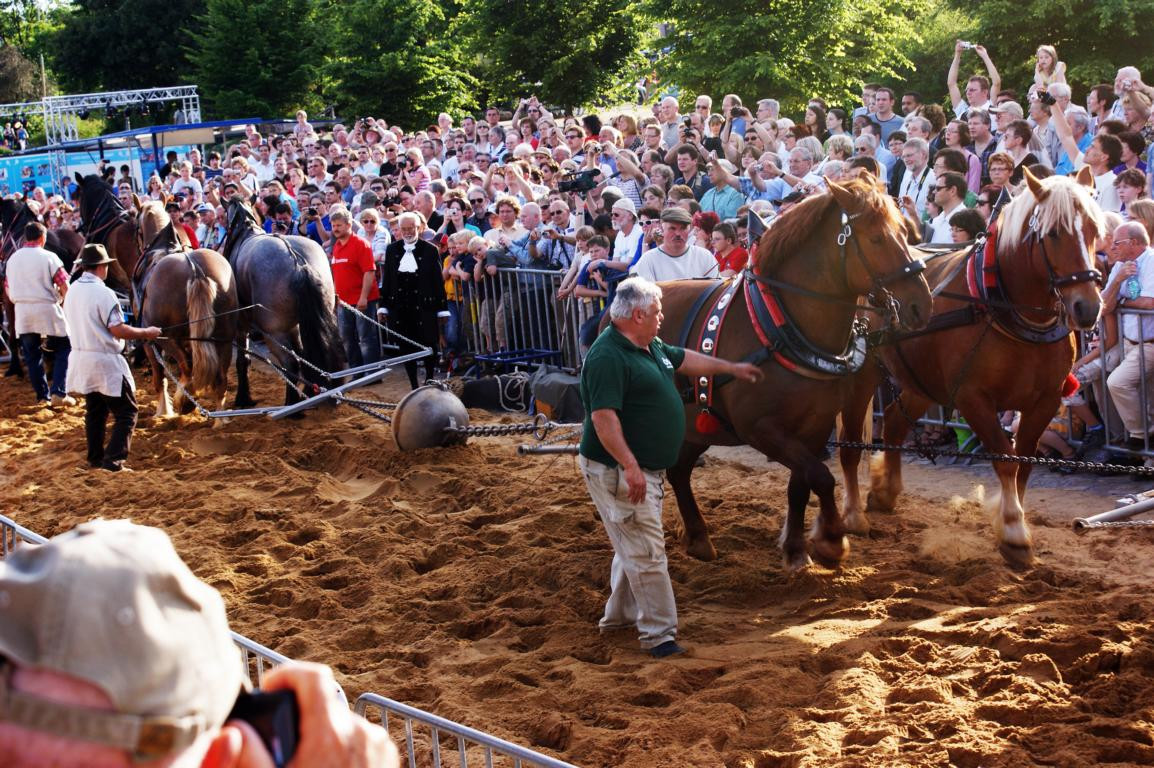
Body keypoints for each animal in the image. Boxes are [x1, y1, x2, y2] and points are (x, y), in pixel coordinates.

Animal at [134, 200, 239, 417]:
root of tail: (195, 270)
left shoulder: (149, 340)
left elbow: (160, 377)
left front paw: (163, 411)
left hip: (167, 337)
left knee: (187, 367)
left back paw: (184, 400)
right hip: (223, 336)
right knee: (220, 378)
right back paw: (219, 418)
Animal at [220, 197, 344, 407]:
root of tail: (298, 262)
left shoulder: (241, 324)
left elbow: (243, 360)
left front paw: (243, 398)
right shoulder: (295, 326)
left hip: (274, 331)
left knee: (290, 364)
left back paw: (293, 405)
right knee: (309, 357)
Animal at [657, 177, 933, 572]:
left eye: (906, 232)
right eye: (877, 238)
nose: (920, 304)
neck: (780, 329)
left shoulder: (814, 427)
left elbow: (801, 484)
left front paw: (797, 548)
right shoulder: (759, 428)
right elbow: (820, 476)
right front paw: (831, 539)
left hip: (696, 426)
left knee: (679, 471)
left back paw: (697, 536)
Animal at [837, 168, 1105, 568]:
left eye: (1093, 229)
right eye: (1054, 234)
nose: (1087, 308)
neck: (1007, 311)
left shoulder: (1044, 401)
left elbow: (1024, 463)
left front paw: (1013, 521)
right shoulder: (972, 397)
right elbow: (1006, 460)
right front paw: (1013, 531)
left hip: (923, 380)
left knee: (897, 423)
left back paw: (886, 492)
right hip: (864, 374)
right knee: (852, 442)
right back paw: (854, 513)